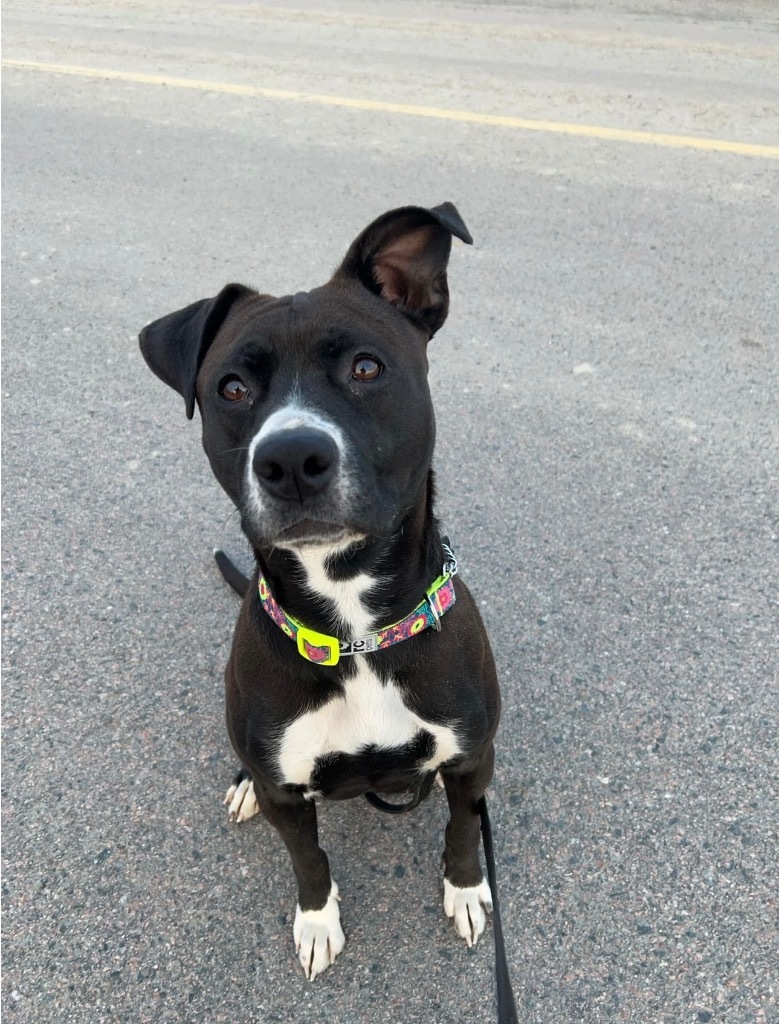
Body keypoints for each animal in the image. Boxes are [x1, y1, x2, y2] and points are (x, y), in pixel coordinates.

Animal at [140, 203, 501, 978]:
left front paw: (463, 890)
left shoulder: (469, 759)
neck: (354, 630)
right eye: (232, 389)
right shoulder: (288, 790)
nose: (290, 458)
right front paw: (314, 921)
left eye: (366, 367)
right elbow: (307, 858)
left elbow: (462, 830)